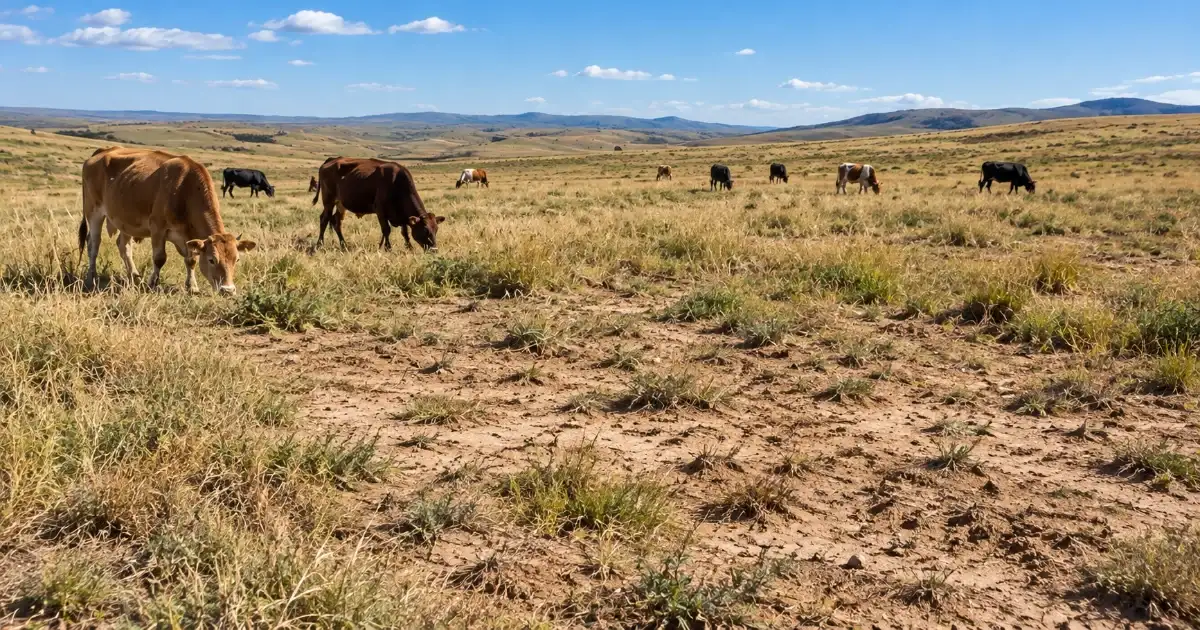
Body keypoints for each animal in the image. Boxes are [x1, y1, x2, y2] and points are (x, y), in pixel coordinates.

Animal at [80, 147, 256, 294]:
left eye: (236, 259)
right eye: (212, 260)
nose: (228, 290)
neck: (185, 189)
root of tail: (103, 151)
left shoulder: (188, 238)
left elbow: (191, 260)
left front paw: (192, 286)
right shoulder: (157, 228)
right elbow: (159, 258)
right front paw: (153, 283)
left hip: (125, 220)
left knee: (124, 246)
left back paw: (134, 275)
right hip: (93, 212)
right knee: (93, 244)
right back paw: (92, 276)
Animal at [313, 157, 445, 251]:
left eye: (436, 229)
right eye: (425, 230)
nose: (434, 250)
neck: (396, 183)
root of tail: (331, 160)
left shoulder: (402, 216)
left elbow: (405, 232)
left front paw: (409, 247)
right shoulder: (380, 211)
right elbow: (386, 230)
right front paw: (387, 248)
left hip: (341, 204)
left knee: (336, 222)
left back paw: (343, 245)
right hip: (329, 201)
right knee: (324, 220)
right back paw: (319, 244)